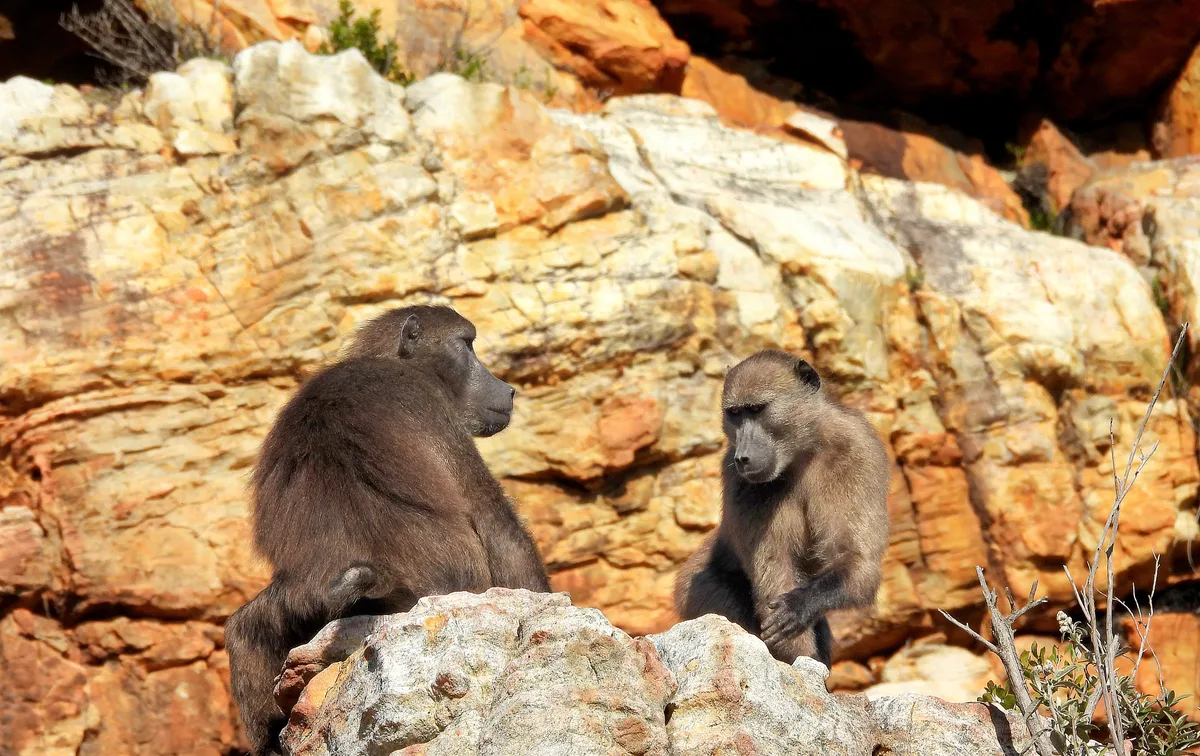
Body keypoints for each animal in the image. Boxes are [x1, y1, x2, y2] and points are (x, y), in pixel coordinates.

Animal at [224, 305, 550, 756]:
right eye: (467, 344)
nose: (509, 390)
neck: (391, 361)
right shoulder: (428, 404)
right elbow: (494, 520)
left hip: (295, 602)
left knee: (243, 630)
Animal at [673, 350, 890, 668]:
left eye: (756, 409)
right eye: (734, 414)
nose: (743, 457)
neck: (802, 451)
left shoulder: (857, 452)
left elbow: (856, 560)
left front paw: (798, 607)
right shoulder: (739, 482)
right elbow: (775, 572)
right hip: (699, 591)